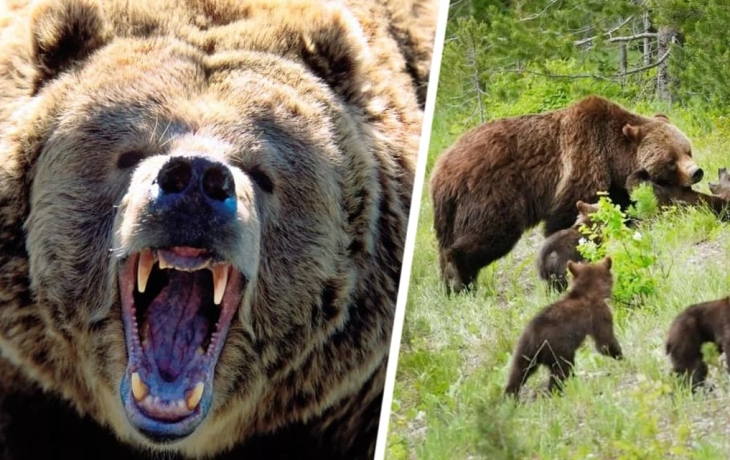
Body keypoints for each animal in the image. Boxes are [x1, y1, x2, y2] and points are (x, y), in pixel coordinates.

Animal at [430, 96, 704, 294]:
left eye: (687, 149)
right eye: (671, 160)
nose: (696, 172)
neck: (614, 157)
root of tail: (440, 172)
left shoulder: (615, 182)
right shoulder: (582, 163)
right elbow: (568, 213)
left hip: (450, 214)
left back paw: (450, 285)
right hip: (491, 193)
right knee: (489, 233)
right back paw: (461, 280)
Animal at [504, 257, 622, 397]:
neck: (588, 292)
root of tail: (534, 339)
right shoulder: (599, 313)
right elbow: (605, 342)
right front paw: (621, 357)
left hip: (523, 351)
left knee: (517, 373)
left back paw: (510, 396)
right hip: (559, 348)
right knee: (561, 371)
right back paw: (556, 392)